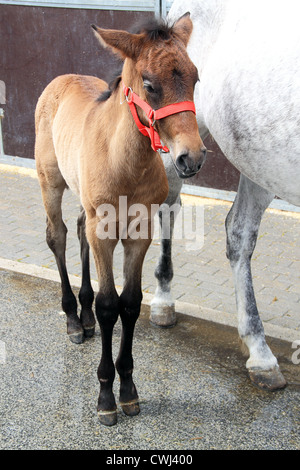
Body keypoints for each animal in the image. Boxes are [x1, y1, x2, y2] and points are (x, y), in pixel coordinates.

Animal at [34, 14, 205, 426]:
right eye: (150, 84)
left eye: (195, 78)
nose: (191, 158)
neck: (126, 161)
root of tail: (61, 78)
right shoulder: (105, 232)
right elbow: (109, 304)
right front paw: (106, 397)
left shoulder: (139, 232)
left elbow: (130, 303)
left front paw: (128, 390)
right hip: (51, 181)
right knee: (58, 235)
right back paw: (73, 319)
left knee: (78, 230)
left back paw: (84, 315)